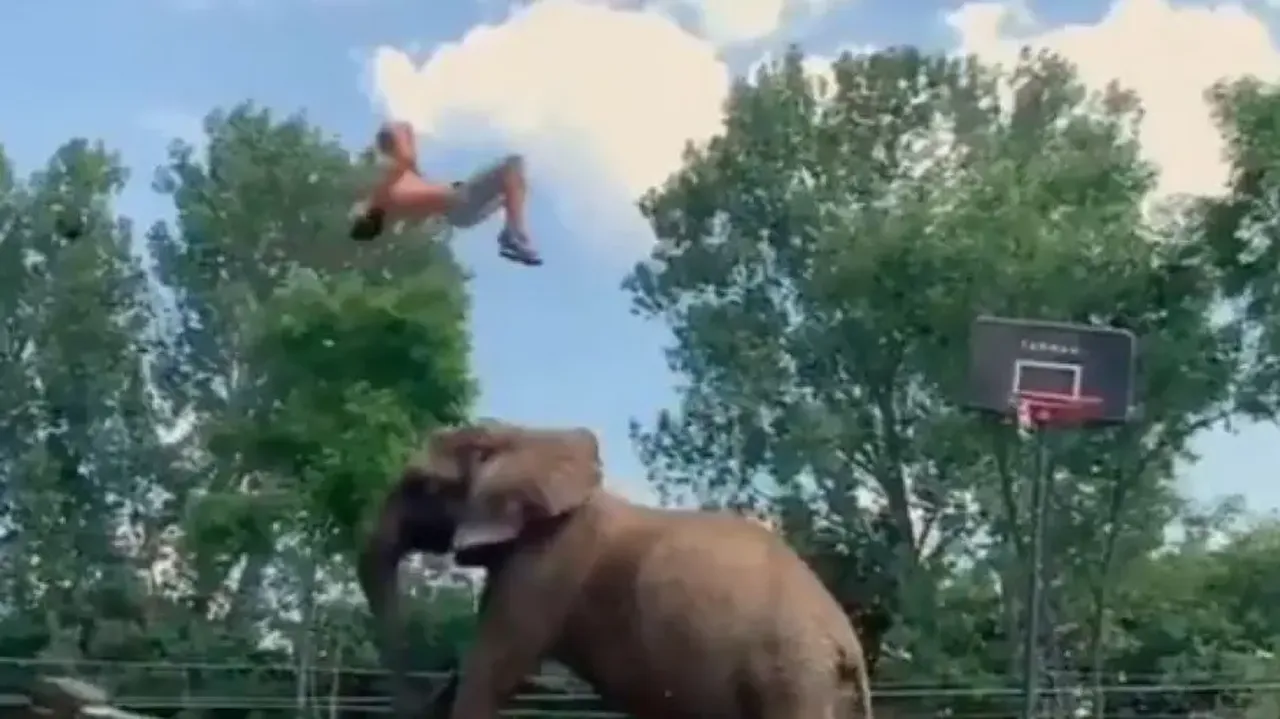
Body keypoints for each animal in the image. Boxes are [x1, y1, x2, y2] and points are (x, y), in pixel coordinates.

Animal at [358, 422, 874, 719]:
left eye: (421, 485)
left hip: (791, 678)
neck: (525, 436)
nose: (431, 685)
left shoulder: (547, 563)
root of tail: (848, 646)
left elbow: (491, 671)